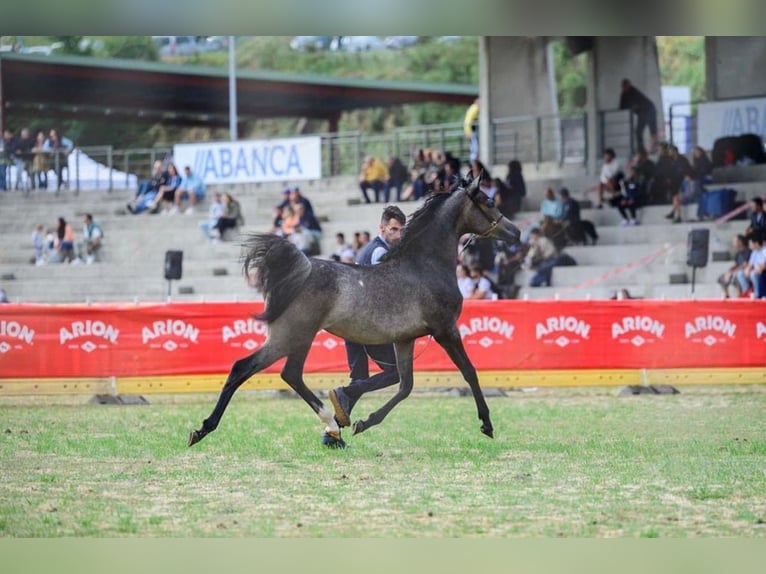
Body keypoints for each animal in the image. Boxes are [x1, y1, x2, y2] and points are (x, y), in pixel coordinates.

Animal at [188, 176, 522, 448]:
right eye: (490, 202)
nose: (516, 232)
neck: (424, 266)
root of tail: (301, 268)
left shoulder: (405, 339)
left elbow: (405, 386)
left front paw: (363, 422)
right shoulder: (446, 330)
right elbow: (469, 372)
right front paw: (487, 425)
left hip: (299, 338)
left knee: (289, 374)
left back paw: (334, 425)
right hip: (292, 335)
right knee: (247, 368)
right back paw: (204, 429)